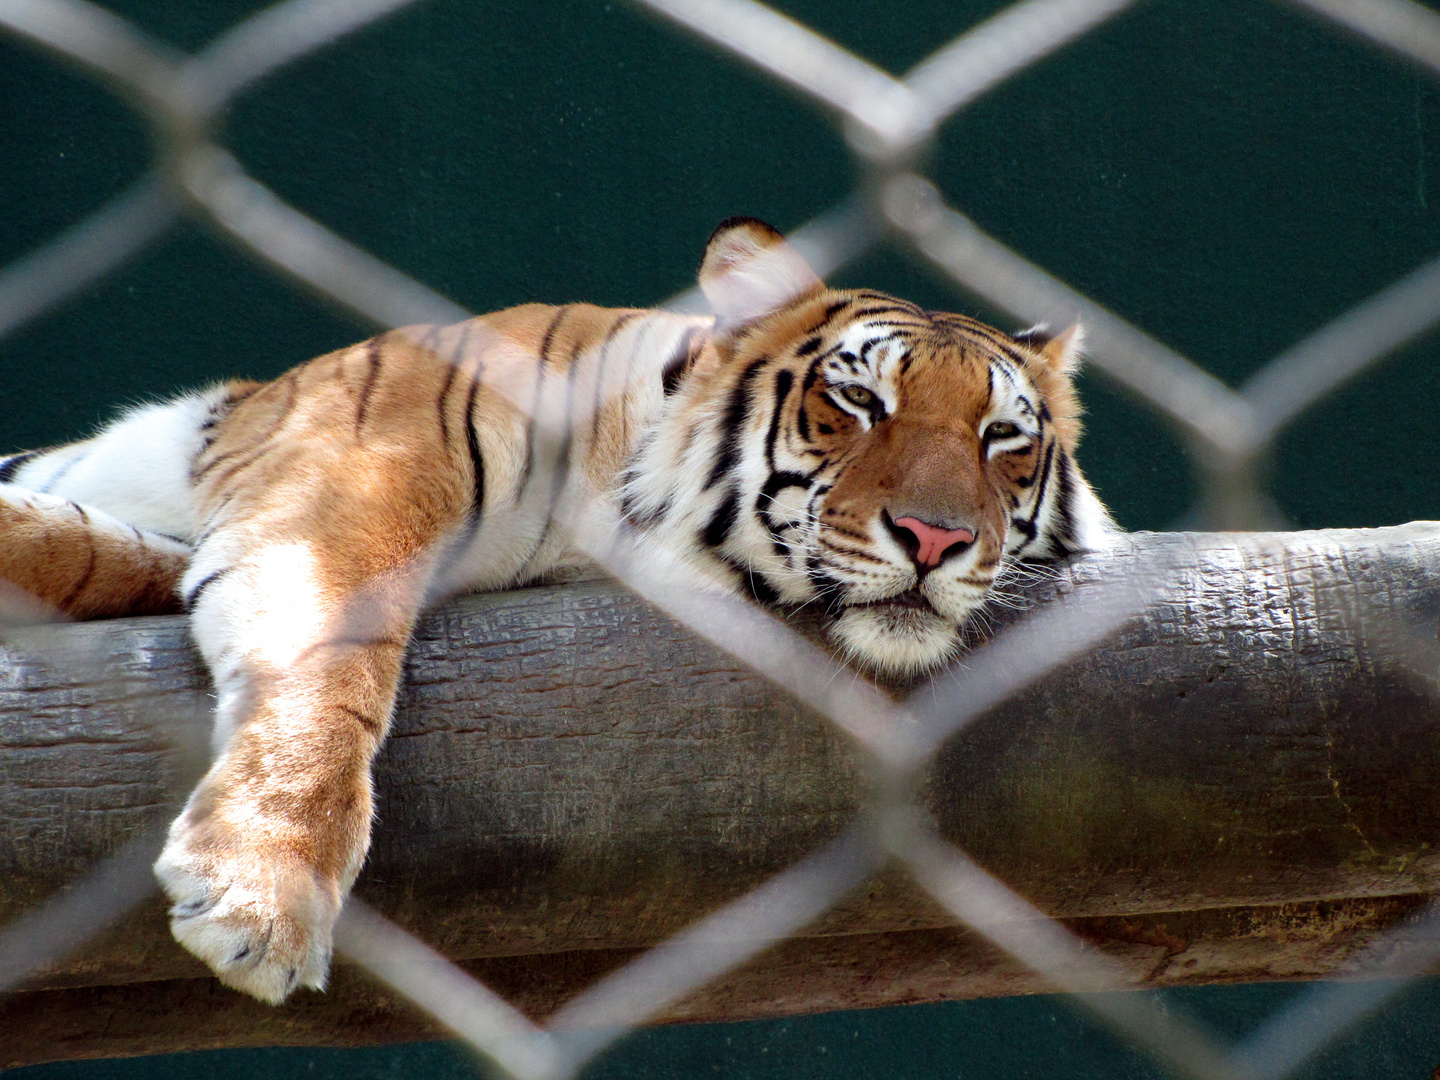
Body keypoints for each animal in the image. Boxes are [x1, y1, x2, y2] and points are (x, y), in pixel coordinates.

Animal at [0, 217, 1111, 1008]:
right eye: (859, 403)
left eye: (1004, 438)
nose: (935, 538)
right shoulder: (346, 480)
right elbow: (328, 673)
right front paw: (260, 894)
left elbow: (107, 554)